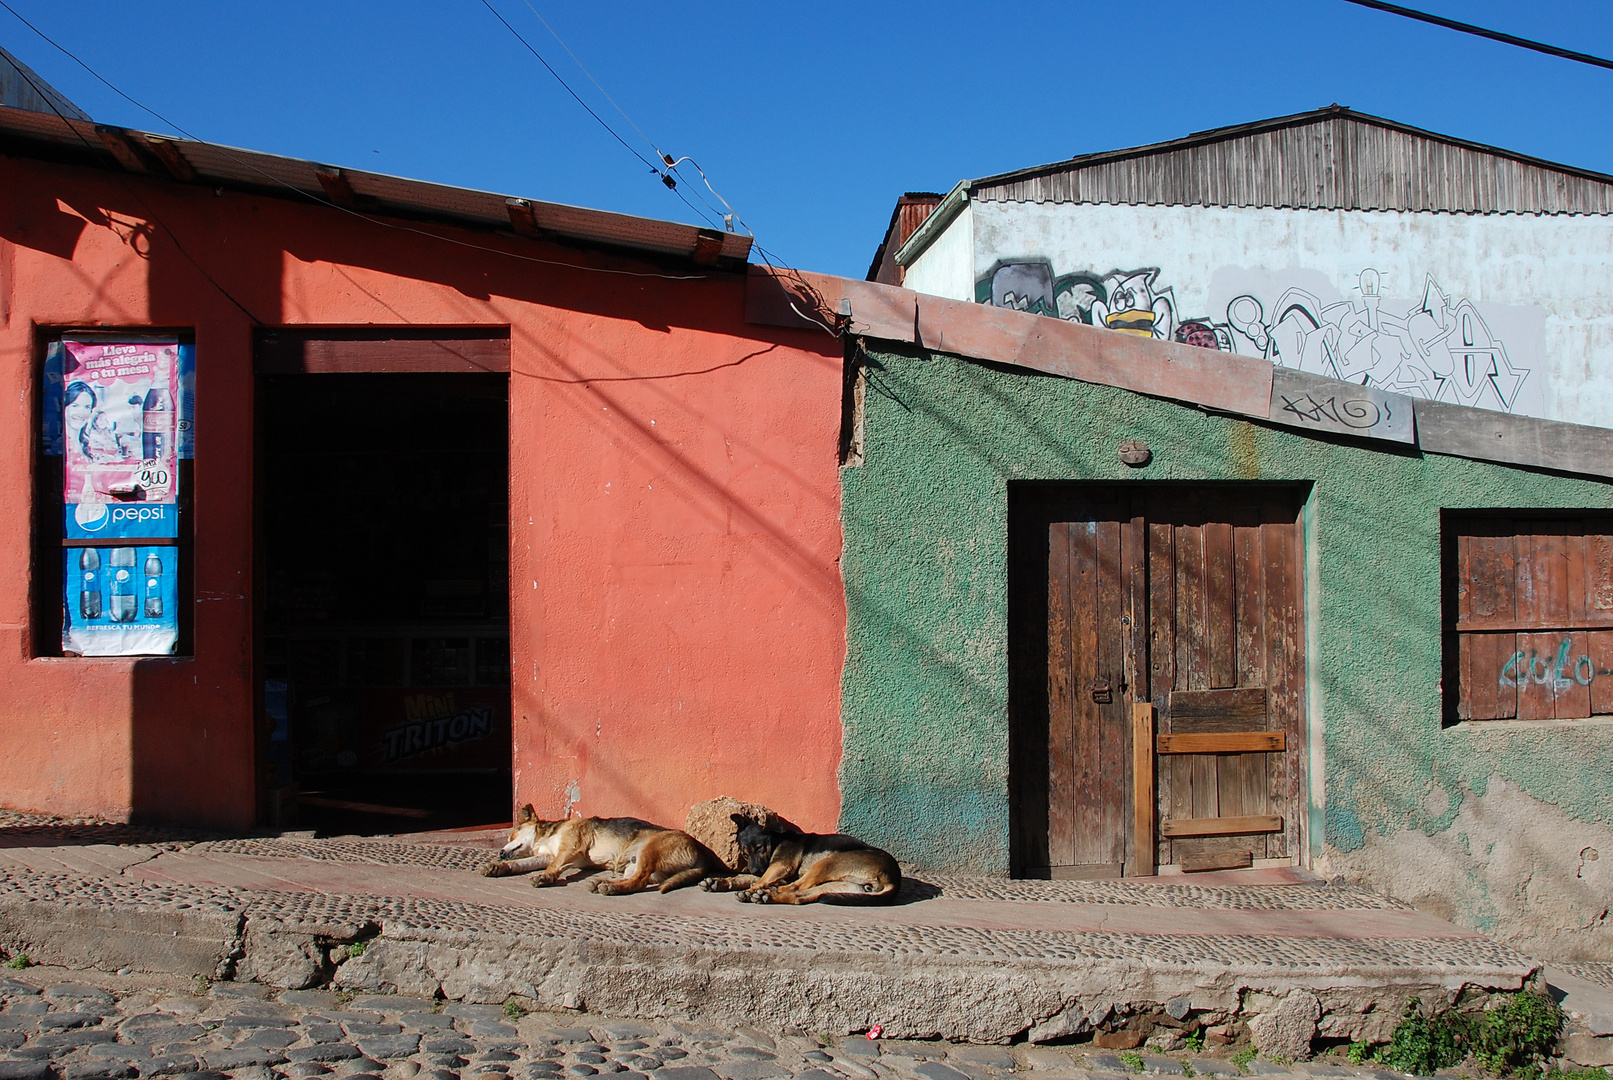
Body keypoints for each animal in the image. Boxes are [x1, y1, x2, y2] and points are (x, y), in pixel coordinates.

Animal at [474, 809, 722, 902]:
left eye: (512, 834)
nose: (500, 852)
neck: (547, 836)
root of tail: (700, 852)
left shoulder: (569, 849)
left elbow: (553, 867)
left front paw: (544, 877)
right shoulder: (550, 856)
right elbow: (524, 863)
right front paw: (498, 867)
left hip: (649, 851)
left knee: (639, 882)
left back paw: (610, 888)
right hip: (635, 863)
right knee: (638, 879)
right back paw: (603, 883)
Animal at [700, 822, 903, 902]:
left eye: (759, 847)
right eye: (745, 854)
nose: (756, 869)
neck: (777, 840)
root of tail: (895, 878)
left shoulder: (780, 866)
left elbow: (760, 880)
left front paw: (751, 888)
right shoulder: (767, 868)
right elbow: (743, 877)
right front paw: (719, 882)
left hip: (828, 862)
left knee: (795, 887)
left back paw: (764, 892)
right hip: (840, 886)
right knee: (800, 895)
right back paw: (768, 896)